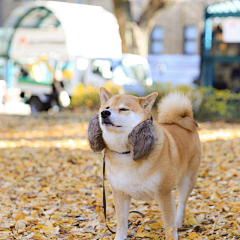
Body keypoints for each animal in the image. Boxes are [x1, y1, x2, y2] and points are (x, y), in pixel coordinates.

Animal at [87, 88, 202, 240]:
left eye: (123, 109)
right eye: (107, 107)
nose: (104, 113)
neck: (127, 153)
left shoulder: (164, 193)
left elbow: (169, 226)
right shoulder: (120, 194)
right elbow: (122, 223)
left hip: (187, 181)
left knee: (182, 204)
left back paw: (178, 222)